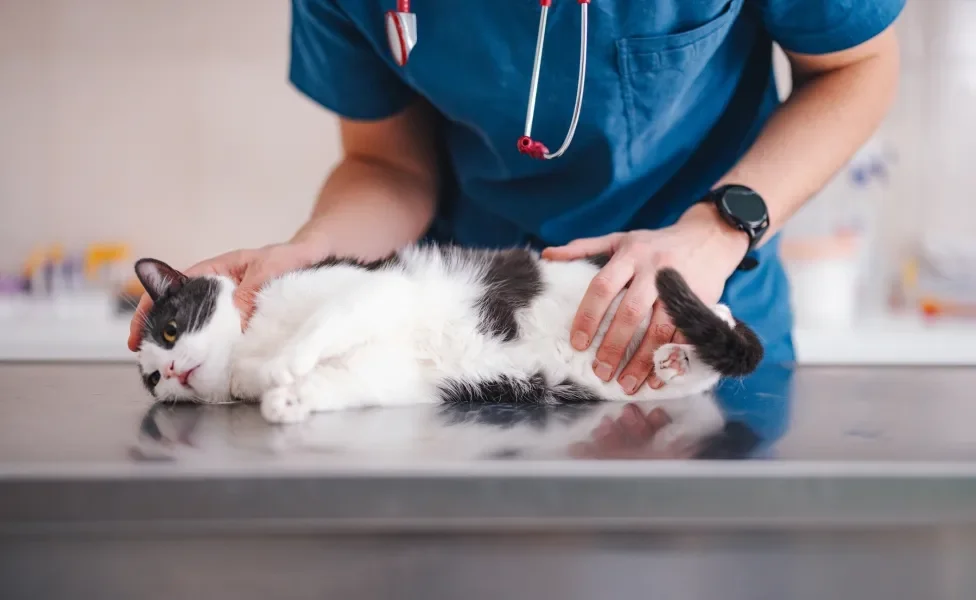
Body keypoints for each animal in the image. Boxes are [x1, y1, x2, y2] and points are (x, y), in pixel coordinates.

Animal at [135, 241, 764, 424]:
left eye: (169, 330)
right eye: (151, 379)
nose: (169, 370)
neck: (251, 343)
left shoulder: (374, 291)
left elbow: (323, 324)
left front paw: (284, 367)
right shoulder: (390, 375)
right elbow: (337, 383)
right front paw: (285, 400)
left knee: (723, 321)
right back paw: (674, 361)